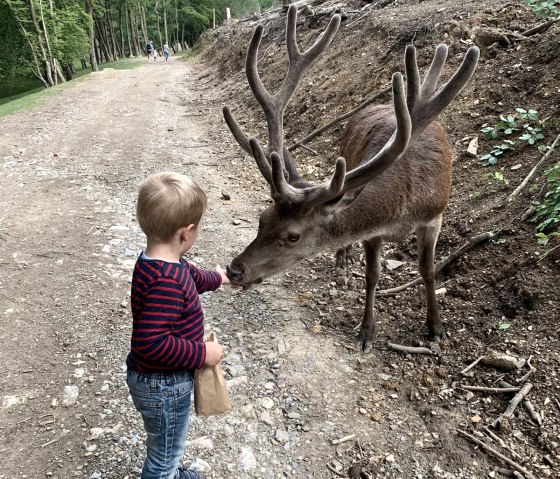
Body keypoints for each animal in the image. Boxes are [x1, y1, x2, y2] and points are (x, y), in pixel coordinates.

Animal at [225, 3, 480, 352]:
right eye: (261, 218)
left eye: (293, 236)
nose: (234, 269)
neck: (401, 208)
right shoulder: (373, 232)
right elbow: (372, 275)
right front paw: (367, 330)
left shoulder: (434, 216)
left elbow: (428, 271)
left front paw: (435, 327)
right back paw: (343, 257)